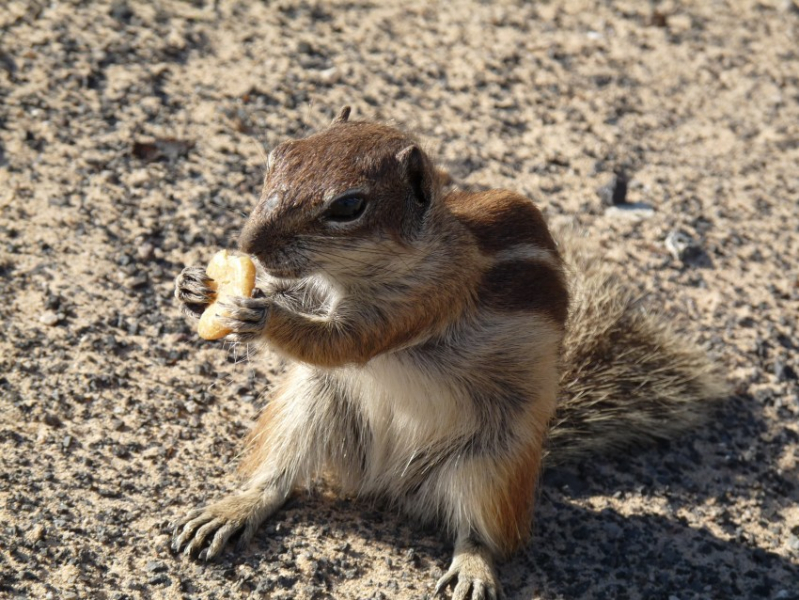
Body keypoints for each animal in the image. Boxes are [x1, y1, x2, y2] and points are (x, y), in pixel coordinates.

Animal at [172, 105, 728, 596]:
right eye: (277, 157)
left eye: (348, 207)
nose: (249, 243)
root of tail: (388, 484)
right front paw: (196, 285)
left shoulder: (422, 303)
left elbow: (342, 342)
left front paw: (258, 314)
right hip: (309, 407)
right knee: (277, 478)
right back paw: (232, 510)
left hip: (491, 466)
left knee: (482, 534)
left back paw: (473, 569)